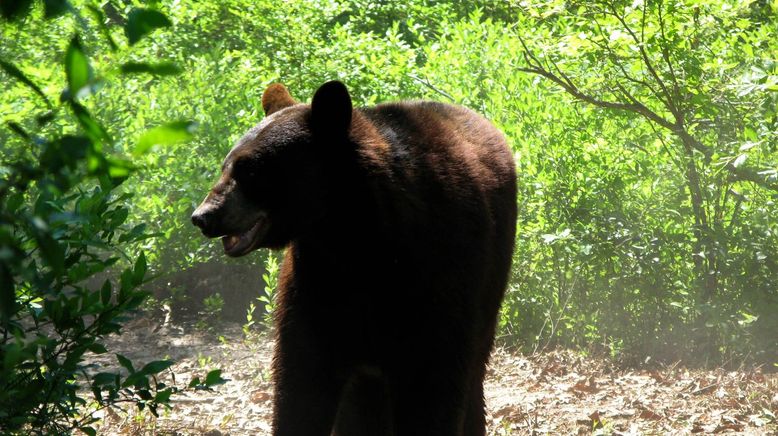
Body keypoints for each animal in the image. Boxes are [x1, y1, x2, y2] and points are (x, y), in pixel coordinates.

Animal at [190, 82, 516, 436]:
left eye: (249, 169)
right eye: (226, 165)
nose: (203, 216)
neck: (354, 240)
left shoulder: (435, 276)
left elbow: (432, 386)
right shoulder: (315, 282)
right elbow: (301, 385)